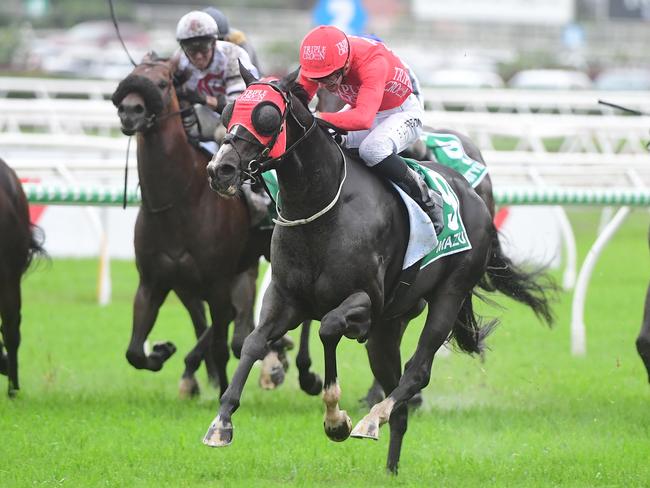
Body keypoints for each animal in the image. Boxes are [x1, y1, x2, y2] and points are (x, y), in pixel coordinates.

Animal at [111, 52, 278, 396]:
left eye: (162, 82)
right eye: (131, 76)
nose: (130, 110)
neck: (177, 204)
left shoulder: (216, 282)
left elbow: (220, 343)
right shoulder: (153, 282)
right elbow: (134, 352)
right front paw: (161, 351)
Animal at [202, 66, 552, 474]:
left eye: (267, 116)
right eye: (229, 111)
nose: (220, 169)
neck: (322, 205)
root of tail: (473, 194)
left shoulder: (366, 303)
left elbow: (329, 327)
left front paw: (335, 419)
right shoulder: (288, 298)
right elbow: (254, 343)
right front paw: (221, 422)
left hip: (447, 297)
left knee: (417, 372)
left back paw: (372, 418)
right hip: (388, 329)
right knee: (398, 396)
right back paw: (390, 467)